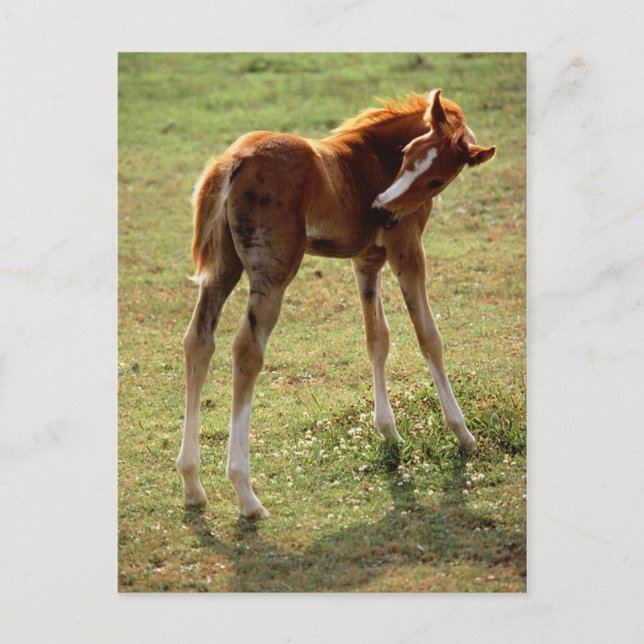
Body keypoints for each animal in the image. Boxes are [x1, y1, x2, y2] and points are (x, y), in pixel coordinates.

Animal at [176, 89, 496, 518]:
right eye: (407, 153)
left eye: (435, 178)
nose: (380, 208)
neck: (373, 155)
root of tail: (233, 160)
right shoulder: (408, 252)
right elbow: (429, 337)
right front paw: (462, 433)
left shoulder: (366, 261)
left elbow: (377, 339)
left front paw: (389, 432)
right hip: (272, 272)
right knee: (246, 350)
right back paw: (246, 494)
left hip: (223, 267)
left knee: (199, 341)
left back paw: (193, 484)